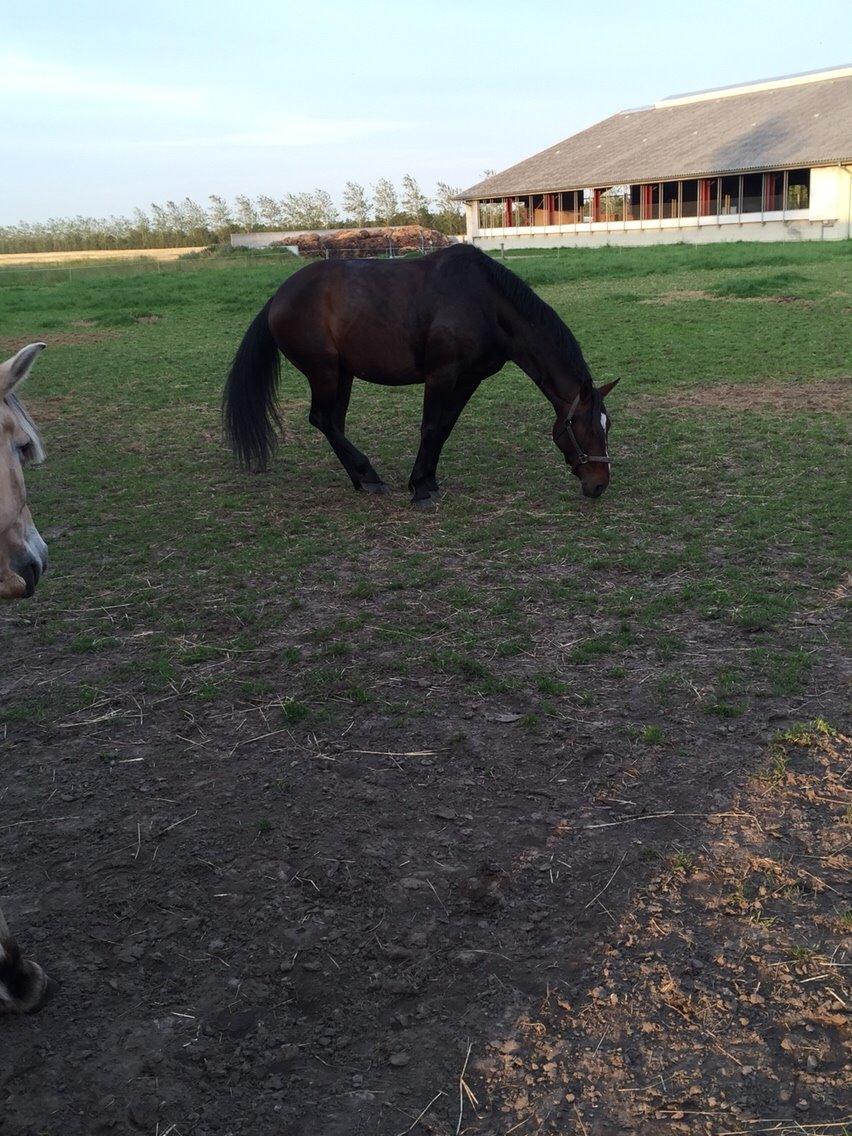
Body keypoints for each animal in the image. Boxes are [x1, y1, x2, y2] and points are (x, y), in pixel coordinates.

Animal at [223, 245, 617, 506]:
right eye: (583, 428)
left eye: (607, 425)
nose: (599, 484)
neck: (484, 304)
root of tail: (278, 297)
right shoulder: (441, 375)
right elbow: (430, 427)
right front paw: (421, 488)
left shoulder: (469, 379)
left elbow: (444, 428)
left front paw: (427, 480)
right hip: (324, 372)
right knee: (322, 419)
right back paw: (368, 475)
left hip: (343, 375)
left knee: (333, 422)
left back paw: (362, 480)